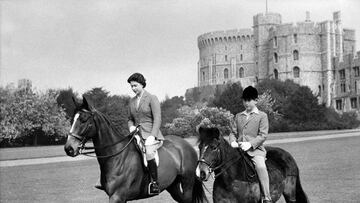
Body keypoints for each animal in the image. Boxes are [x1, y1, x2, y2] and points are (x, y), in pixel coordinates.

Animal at [63, 97, 207, 203]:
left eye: (84, 120)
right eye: (72, 120)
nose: (68, 148)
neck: (116, 156)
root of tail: (187, 145)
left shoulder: (117, 196)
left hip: (187, 182)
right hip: (173, 186)